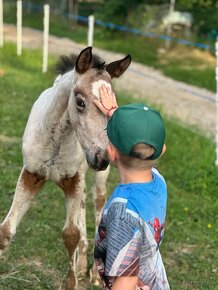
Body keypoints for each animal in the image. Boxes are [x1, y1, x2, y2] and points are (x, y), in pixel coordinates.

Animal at [0, 46, 131, 288]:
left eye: (113, 105)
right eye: (80, 102)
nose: (101, 157)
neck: (56, 138)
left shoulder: (72, 180)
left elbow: (71, 234)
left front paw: (72, 282)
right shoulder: (31, 174)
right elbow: (6, 230)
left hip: (96, 175)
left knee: (97, 200)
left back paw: (94, 273)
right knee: (83, 203)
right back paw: (81, 266)